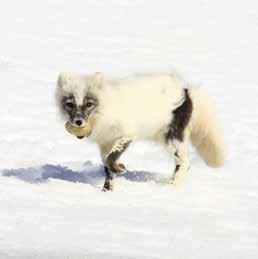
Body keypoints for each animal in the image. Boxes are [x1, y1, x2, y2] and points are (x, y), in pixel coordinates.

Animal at [56, 72, 226, 192]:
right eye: (70, 104)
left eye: (89, 104)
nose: (78, 122)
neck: (104, 111)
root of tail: (187, 91)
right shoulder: (104, 143)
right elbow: (106, 166)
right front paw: (107, 190)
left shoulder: (127, 135)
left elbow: (111, 159)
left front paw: (120, 169)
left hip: (172, 138)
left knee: (184, 162)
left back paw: (170, 186)